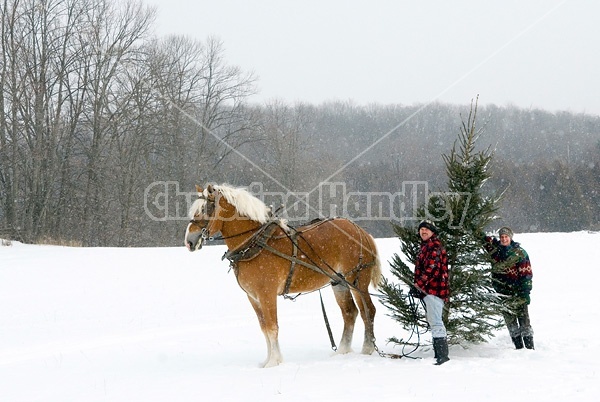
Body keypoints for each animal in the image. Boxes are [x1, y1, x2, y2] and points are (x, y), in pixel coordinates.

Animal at [184, 185, 380, 368]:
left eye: (205, 209)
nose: (189, 241)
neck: (255, 243)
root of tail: (361, 231)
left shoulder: (267, 293)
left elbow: (272, 327)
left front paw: (274, 362)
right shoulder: (253, 297)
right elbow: (264, 328)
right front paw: (267, 360)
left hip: (357, 280)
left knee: (368, 311)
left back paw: (368, 348)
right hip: (338, 282)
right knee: (350, 312)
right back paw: (342, 351)